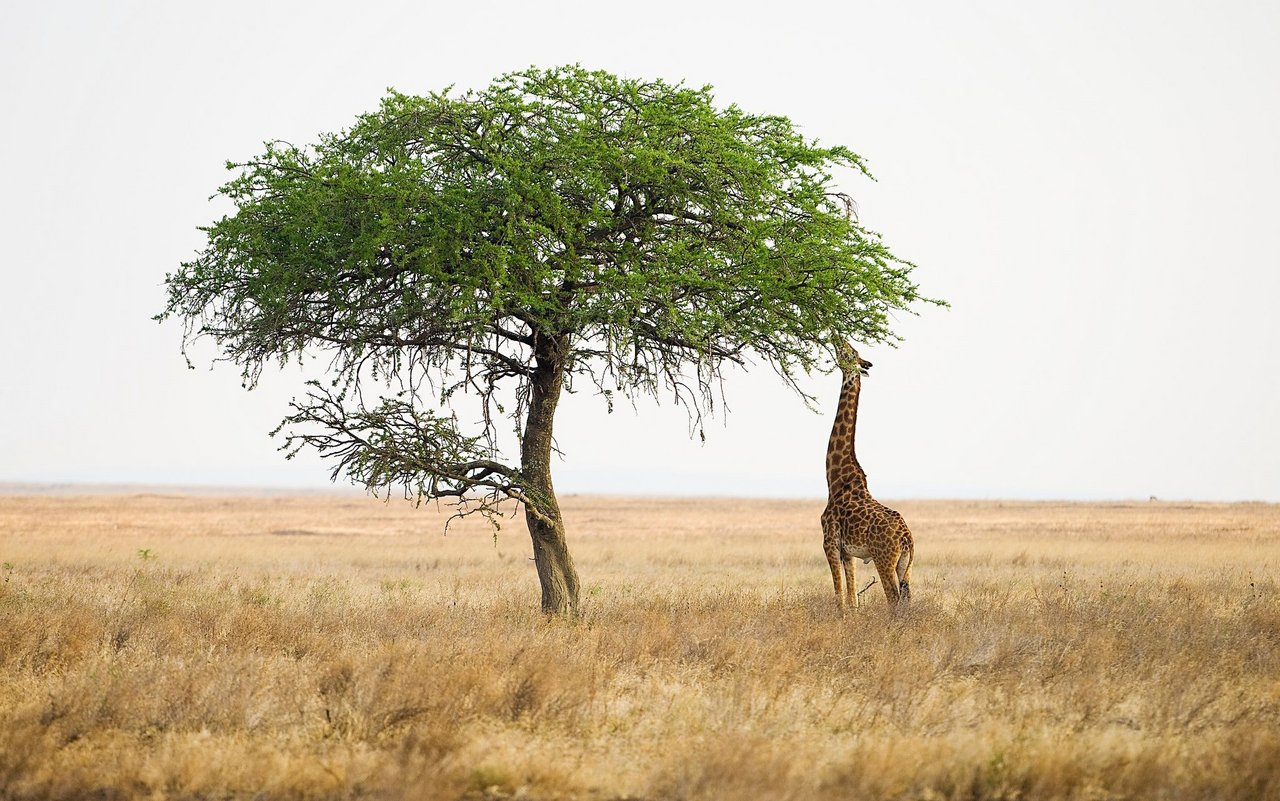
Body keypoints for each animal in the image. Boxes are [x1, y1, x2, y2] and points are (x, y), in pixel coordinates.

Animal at [824, 340, 916, 609]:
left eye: (850, 352)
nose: (838, 338)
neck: (834, 479)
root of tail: (907, 538)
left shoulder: (829, 543)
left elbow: (839, 596)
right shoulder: (848, 553)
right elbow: (852, 598)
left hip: (883, 558)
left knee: (893, 600)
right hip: (904, 564)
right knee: (907, 599)